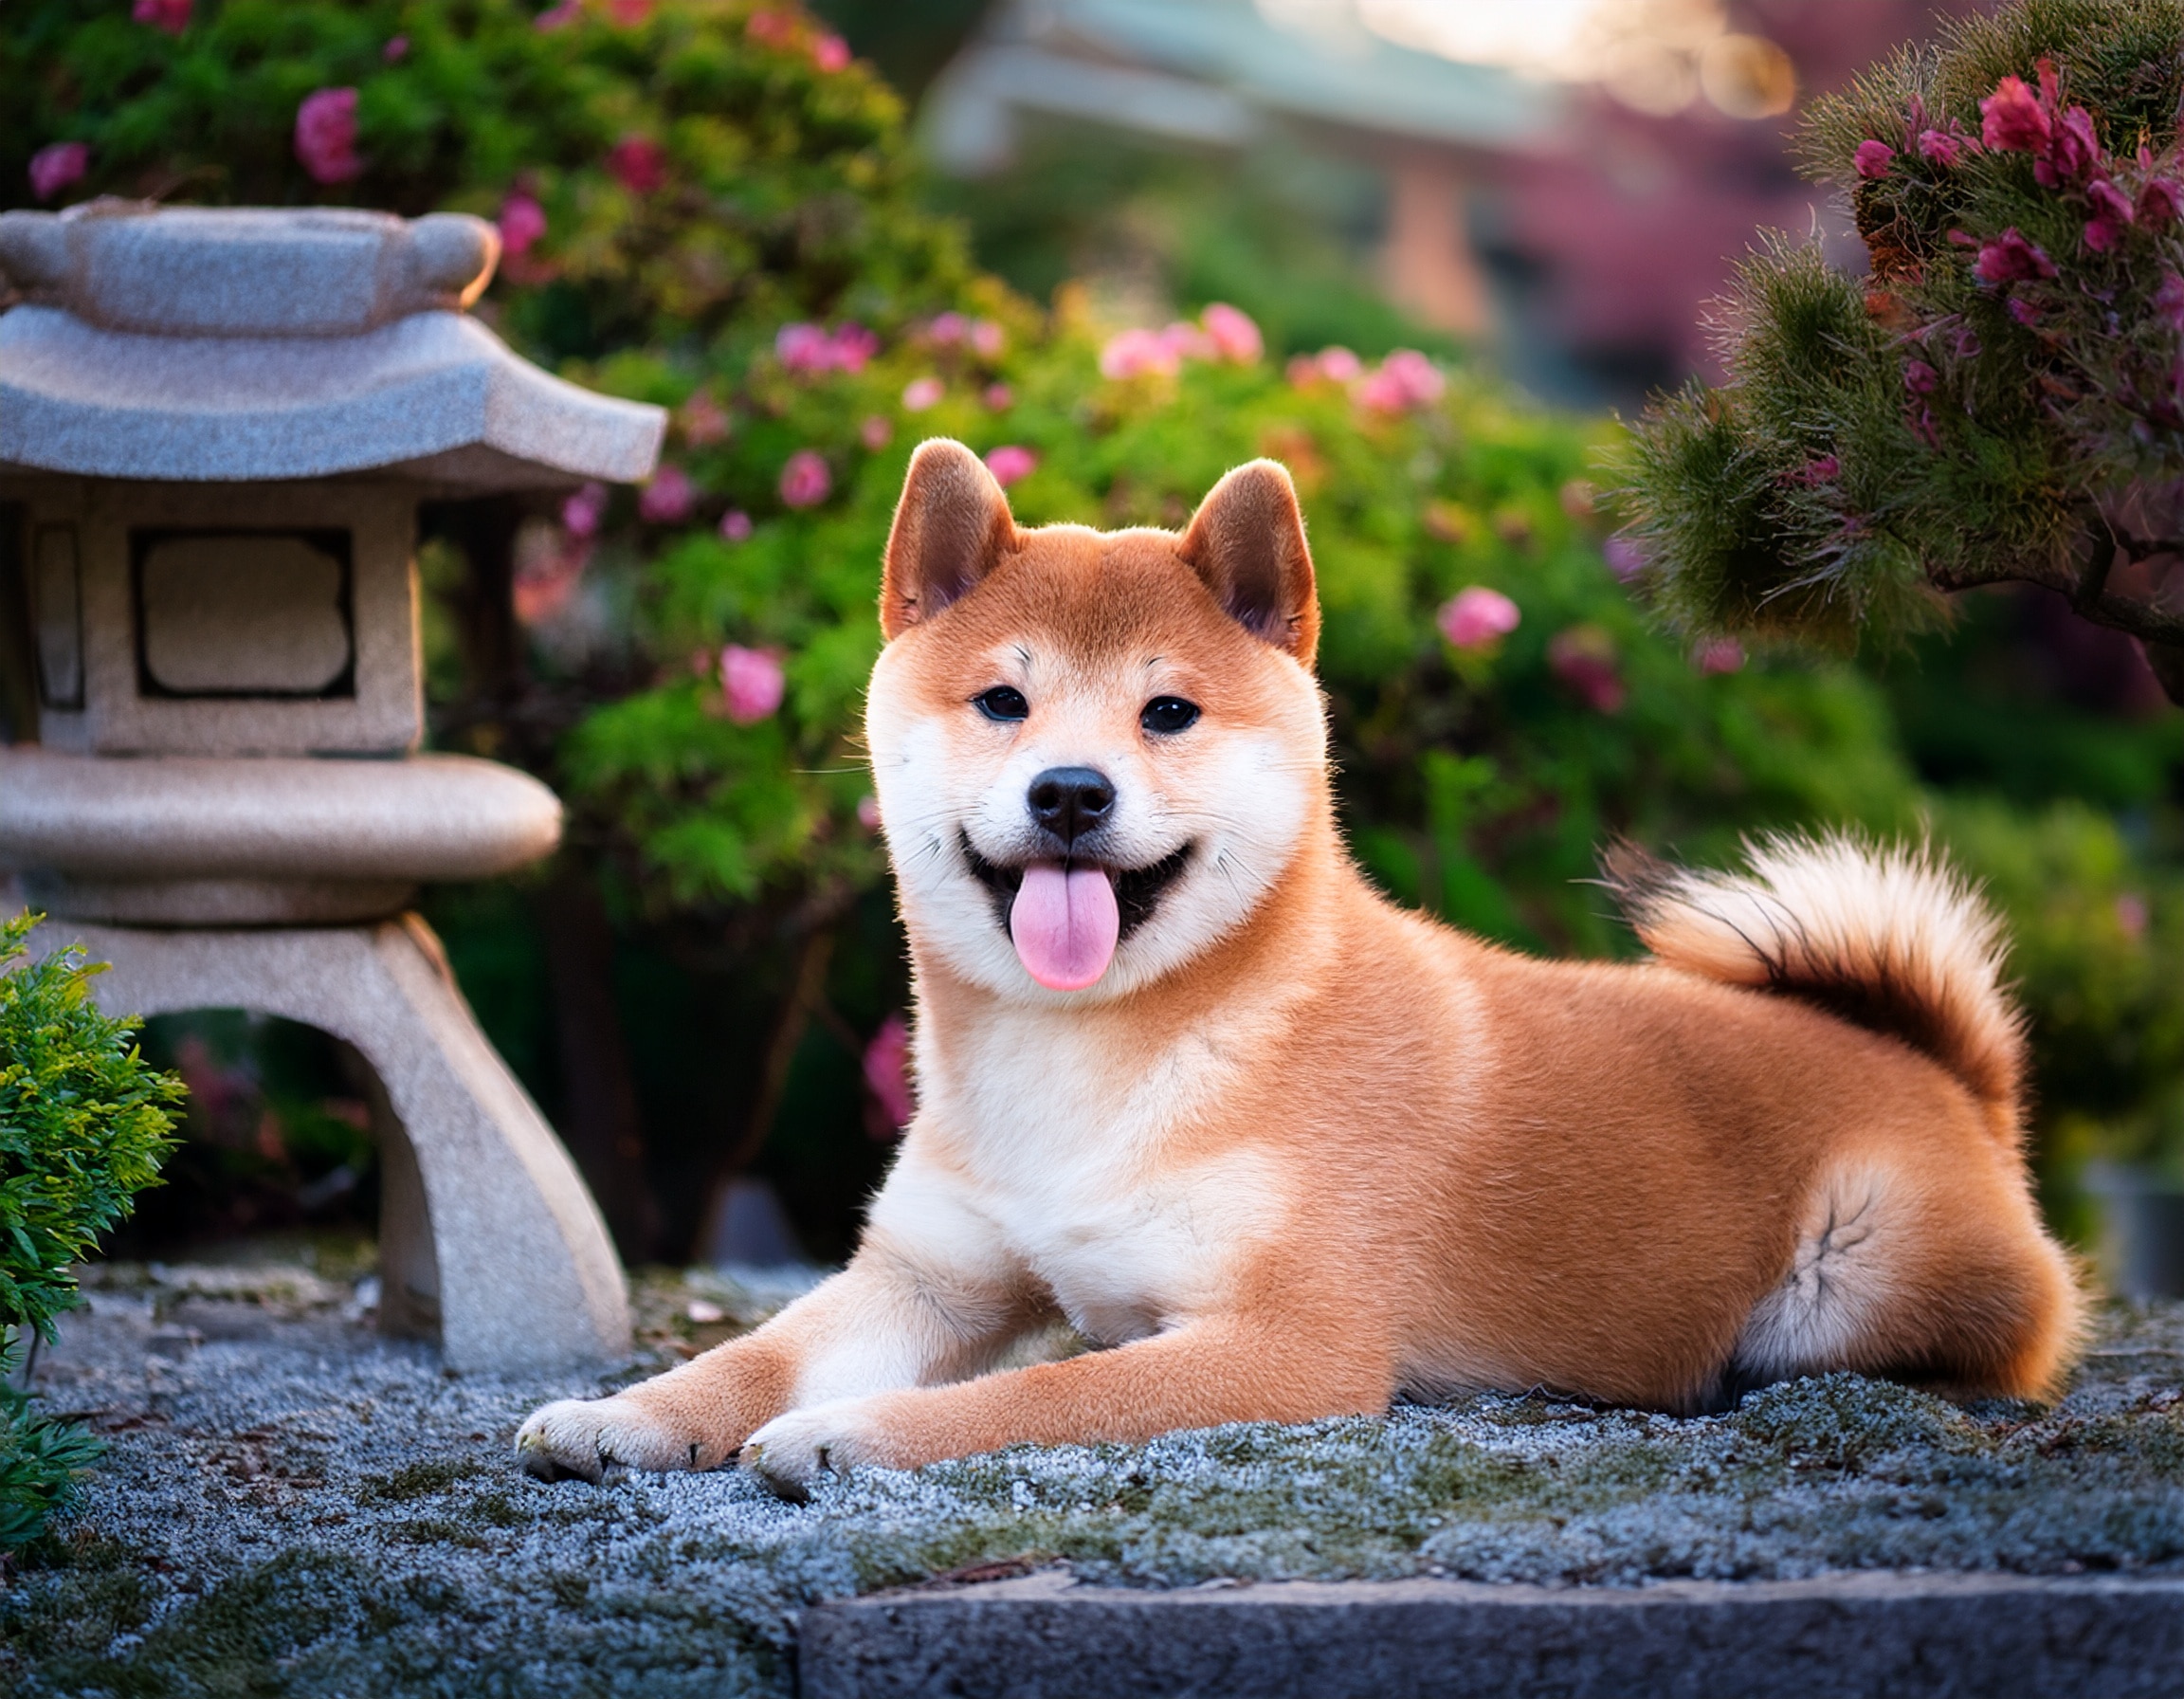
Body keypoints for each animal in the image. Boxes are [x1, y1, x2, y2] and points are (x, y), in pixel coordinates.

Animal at [519, 441, 2087, 1493]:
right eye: (1003, 702)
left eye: (1167, 713)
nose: (1071, 793)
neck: (1091, 1066)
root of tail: (1948, 1076)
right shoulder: (930, 1281)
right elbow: (755, 1354)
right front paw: (630, 1410)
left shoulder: (1283, 1344)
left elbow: (1040, 1398)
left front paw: (855, 1430)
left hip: (1858, 1279)